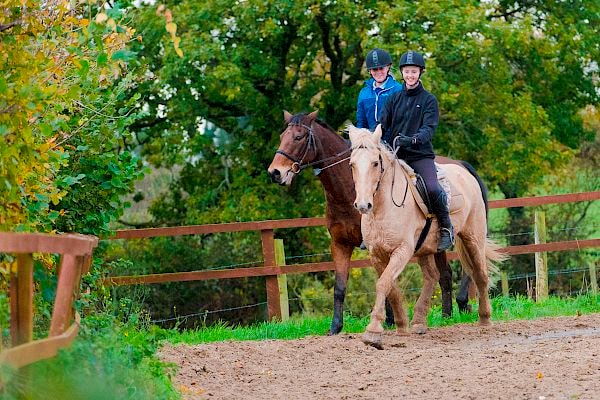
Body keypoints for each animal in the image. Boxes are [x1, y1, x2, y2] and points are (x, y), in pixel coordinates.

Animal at [268, 110, 474, 334]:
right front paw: (335, 326)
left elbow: (384, 279)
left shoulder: (376, 246)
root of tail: (460, 165)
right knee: (445, 274)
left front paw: (389, 320)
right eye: (282, 136)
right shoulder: (340, 244)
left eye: (298, 137)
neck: (349, 192)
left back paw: (456, 307)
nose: (275, 172)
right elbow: (340, 287)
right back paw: (447, 315)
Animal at [346, 125, 506, 350]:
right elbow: (391, 286)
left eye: (375, 163)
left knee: (480, 275)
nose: (362, 205)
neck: (383, 209)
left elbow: (384, 284)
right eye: (352, 164)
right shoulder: (376, 254)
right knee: (432, 277)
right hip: (426, 248)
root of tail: (465, 172)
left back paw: (484, 319)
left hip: (473, 238)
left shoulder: (402, 251)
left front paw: (373, 331)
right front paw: (401, 325)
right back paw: (419, 321)